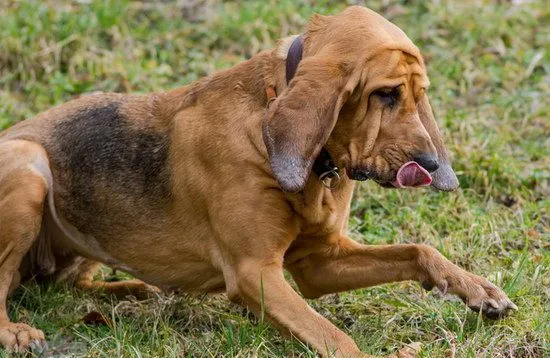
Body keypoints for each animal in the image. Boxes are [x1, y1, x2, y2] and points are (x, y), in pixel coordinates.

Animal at [0, 6, 516, 358]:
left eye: (418, 94)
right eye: (386, 95)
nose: (428, 163)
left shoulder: (319, 264)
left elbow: (418, 250)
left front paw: (476, 289)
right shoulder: (256, 273)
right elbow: (337, 340)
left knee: (71, 283)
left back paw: (134, 290)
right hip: (30, 166)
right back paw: (16, 331)